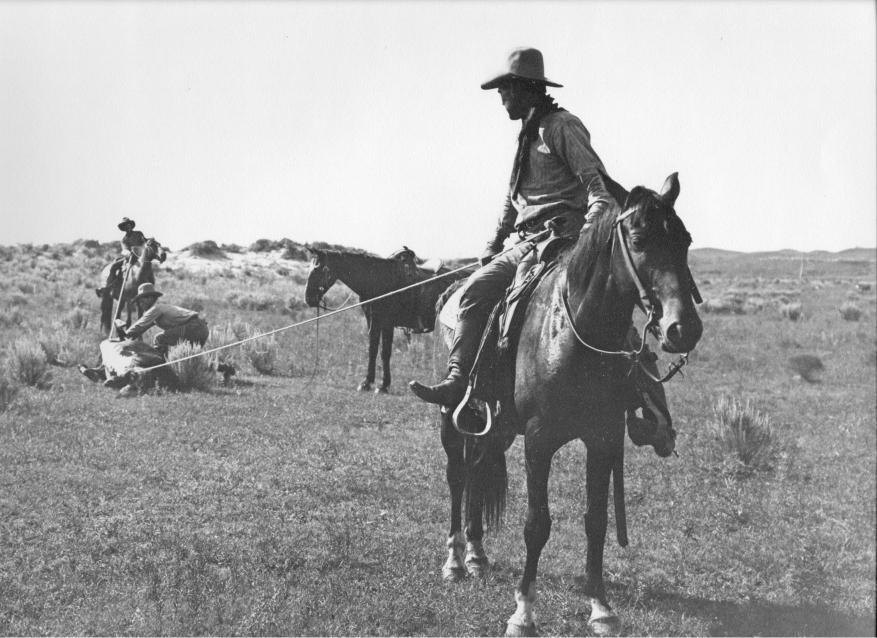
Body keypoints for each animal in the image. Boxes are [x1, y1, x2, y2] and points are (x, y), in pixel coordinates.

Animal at [304, 249, 462, 396]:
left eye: (317, 269)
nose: (308, 298)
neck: (379, 280)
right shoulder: (372, 321)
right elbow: (372, 349)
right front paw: (367, 382)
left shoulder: (387, 323)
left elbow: (384, 352)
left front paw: (384, 385)